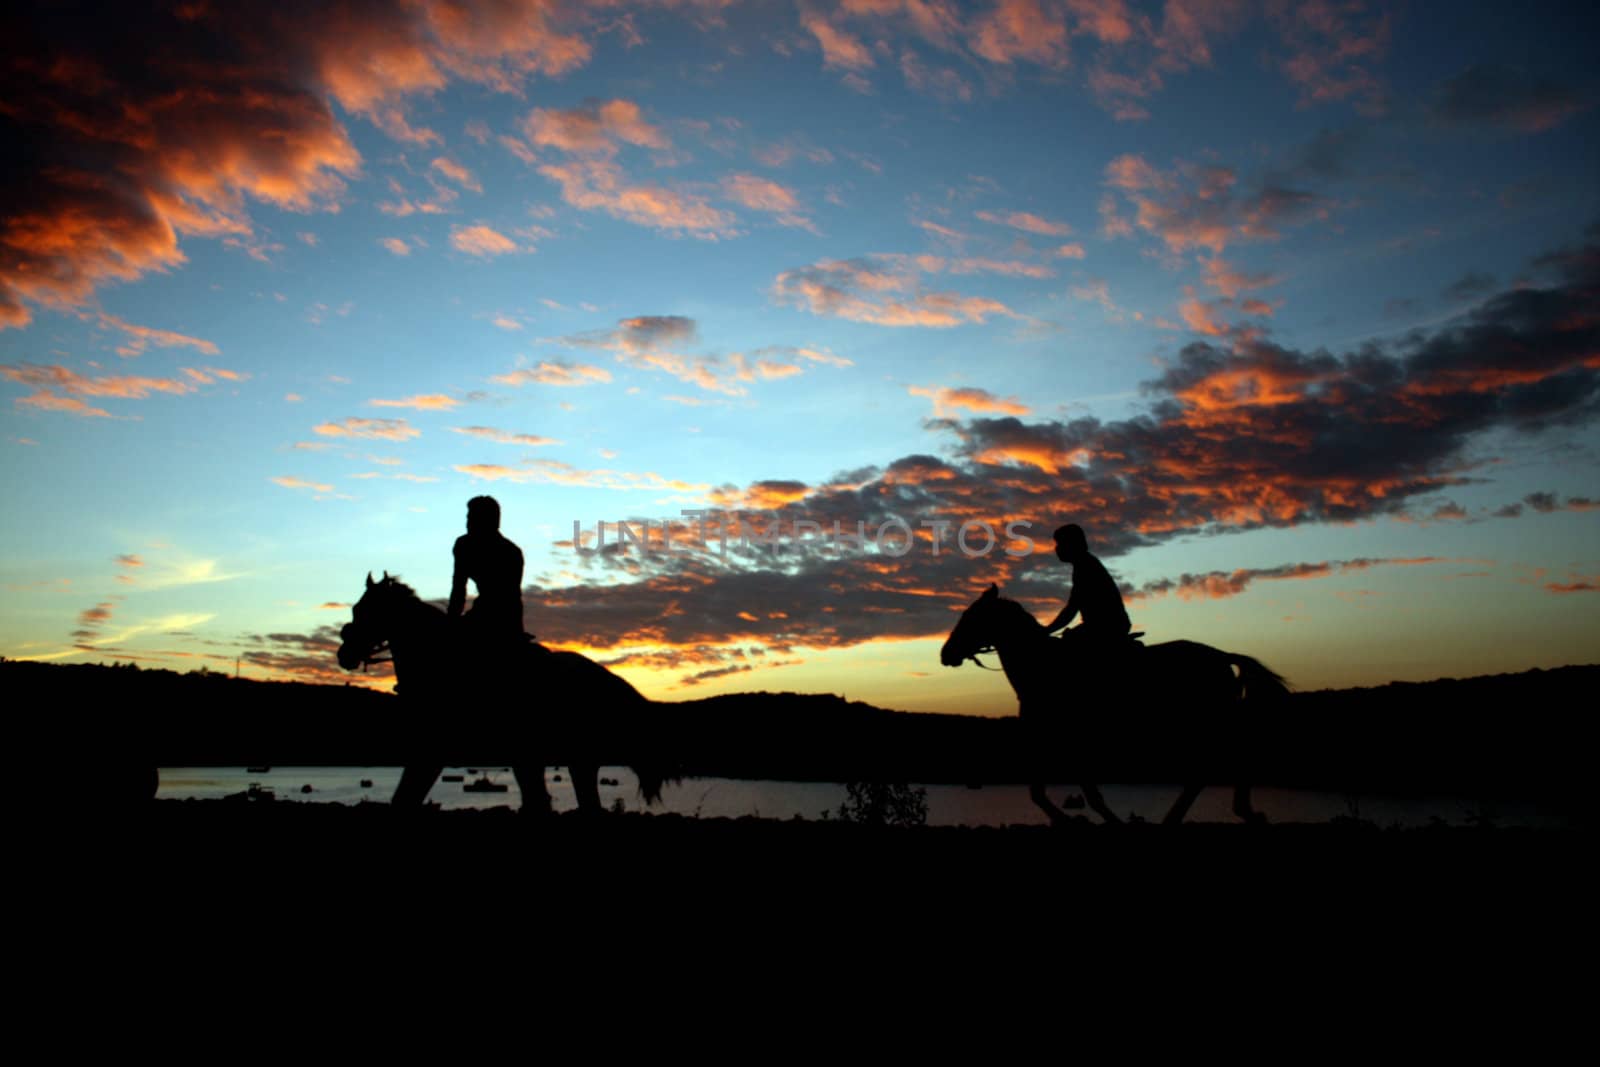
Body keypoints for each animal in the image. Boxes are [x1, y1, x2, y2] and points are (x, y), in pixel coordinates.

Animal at [334, 575, 665, 809]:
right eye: (355, 608)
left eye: (369, 610)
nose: (344, 654)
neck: (440, 657)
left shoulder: (431, 750)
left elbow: (404, 798)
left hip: (576, 758)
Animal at [934, 585, 1286, 825]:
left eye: (970, 617)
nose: (945, 654)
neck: (1043, 665)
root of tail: (1223, 657)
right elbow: (1048, 789)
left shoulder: (1065, 734)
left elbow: (1076, 789)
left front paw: (1084, 819)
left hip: (1204, 721)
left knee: (1219, 764)